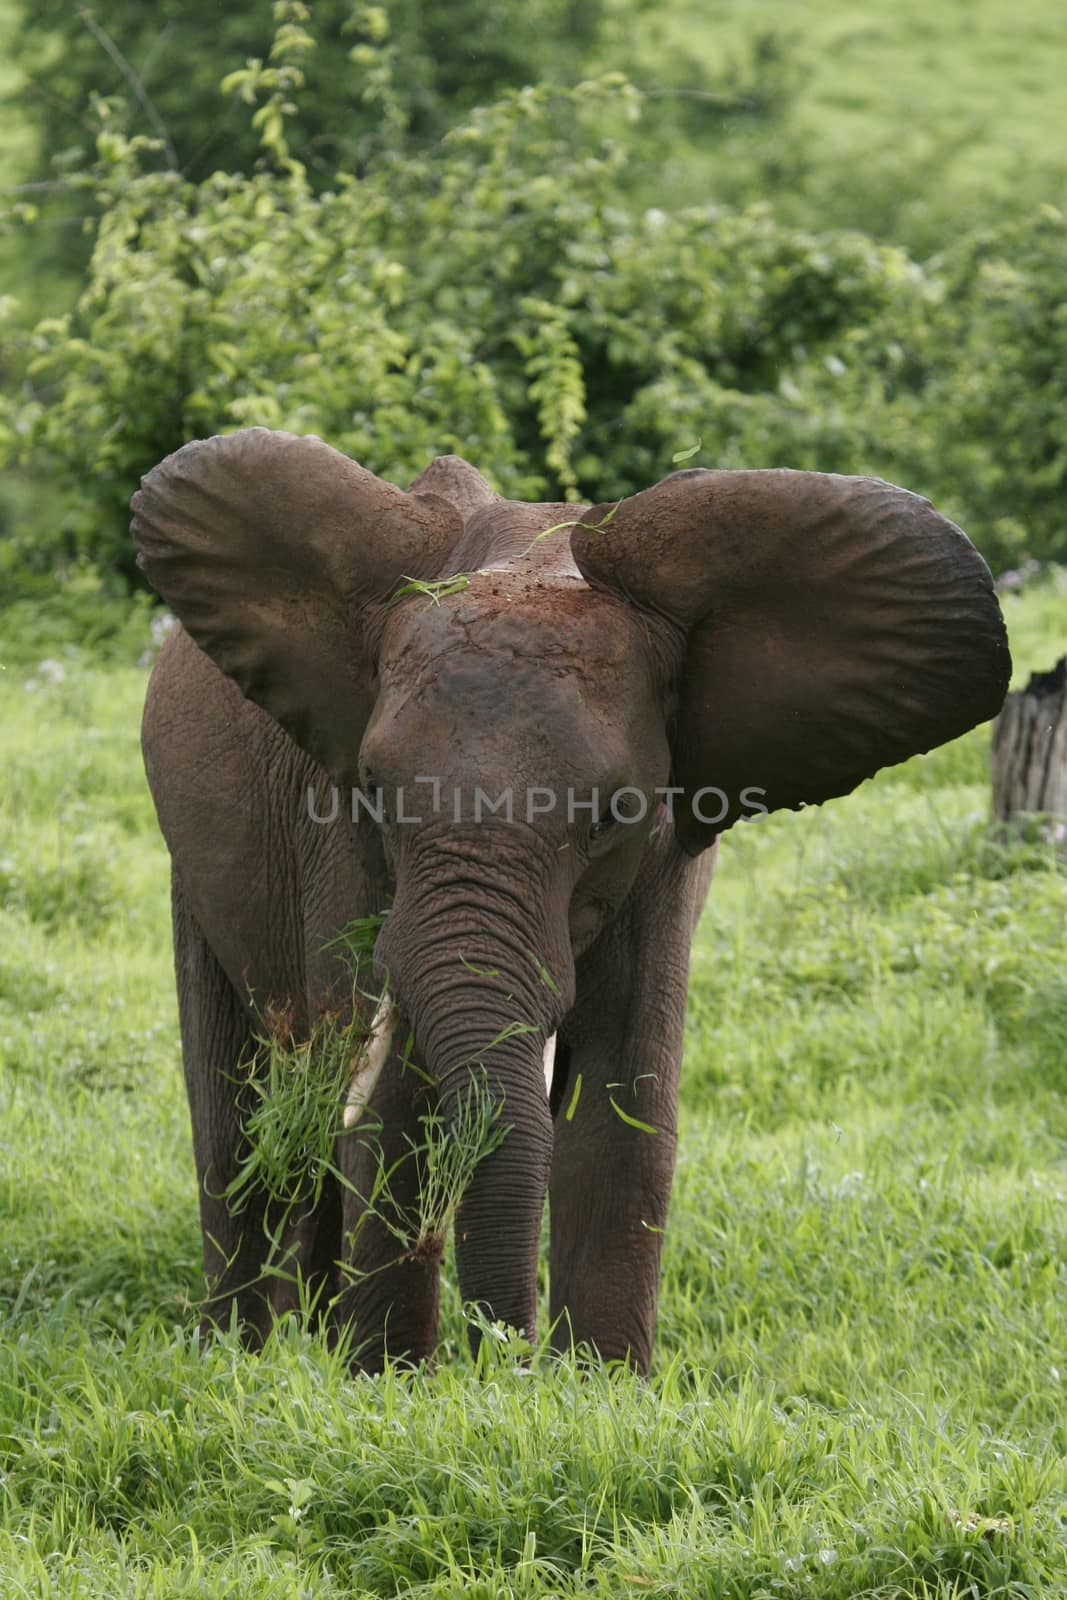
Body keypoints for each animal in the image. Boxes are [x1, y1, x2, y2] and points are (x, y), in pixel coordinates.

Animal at [133, 428, 1011, 1376]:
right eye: (373, 791)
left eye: (611, 814)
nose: (500, 1358)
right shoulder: (338, 840)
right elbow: (390, 1107)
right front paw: (390, 1383)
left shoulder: (665, 856)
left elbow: (621, 1104)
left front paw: (601, 1389)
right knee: (236, 1123)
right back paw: (238, 1355)